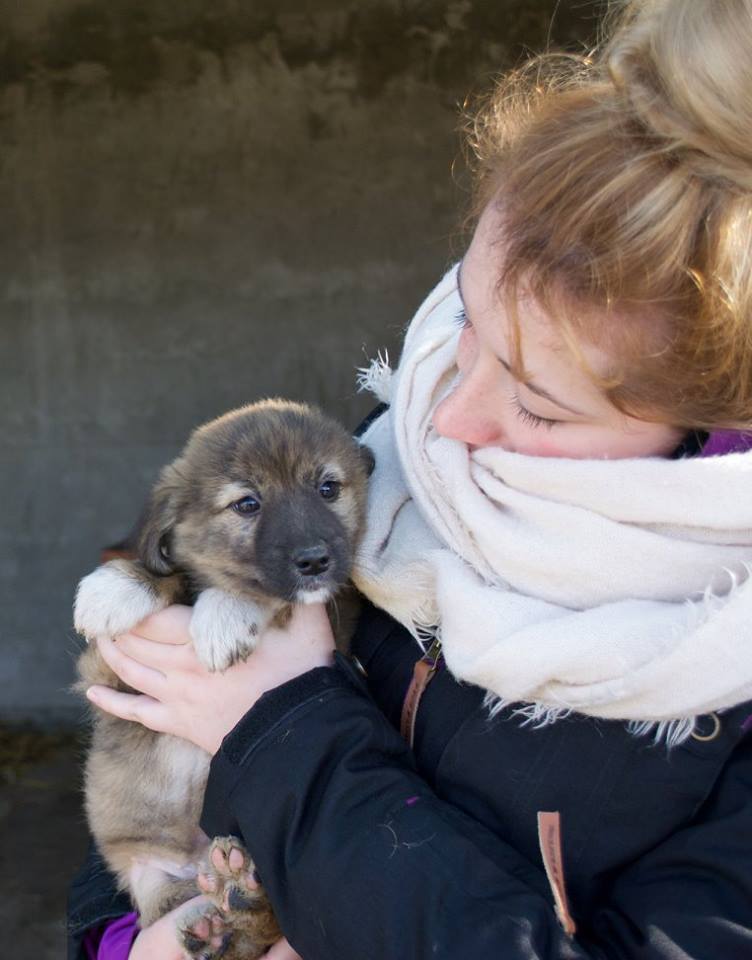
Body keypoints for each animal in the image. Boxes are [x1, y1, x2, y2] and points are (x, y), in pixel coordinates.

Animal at [73, 400, 374, 960]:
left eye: (328, 488)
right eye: (247, 504)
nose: (315, 560)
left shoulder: (337, 613)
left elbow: (261, 594)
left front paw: (226, 613)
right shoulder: (104, 676)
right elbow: (171, 575)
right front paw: (118, 587)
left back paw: (242, 900)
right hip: (157, 886)